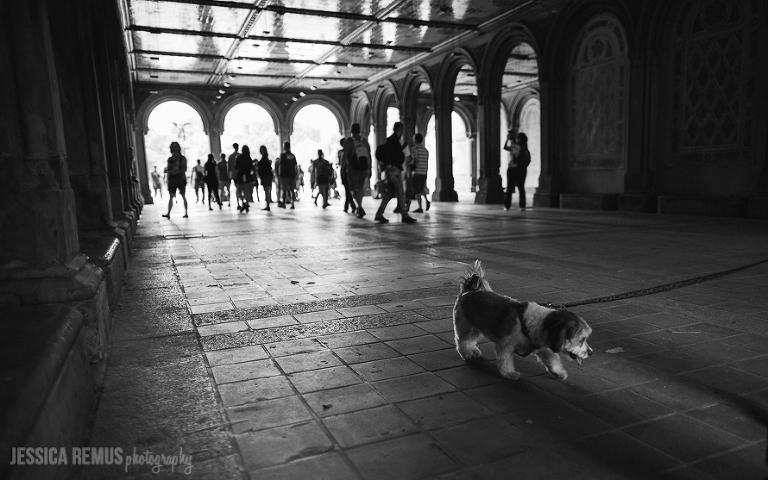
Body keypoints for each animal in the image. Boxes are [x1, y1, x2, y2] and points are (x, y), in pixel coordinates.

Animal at [452, 260, 596, 380]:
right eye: (582, 339)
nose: (591, 353)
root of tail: (468, 291)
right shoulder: (505, 345)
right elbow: (506, 361)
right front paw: (509, 373)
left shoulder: (541, 347)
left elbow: (551, 360)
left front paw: (558, 372)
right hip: (464, 325)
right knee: (462, 341)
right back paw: (466, 353)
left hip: (476, 326)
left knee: (471, 340)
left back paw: (473, 350)